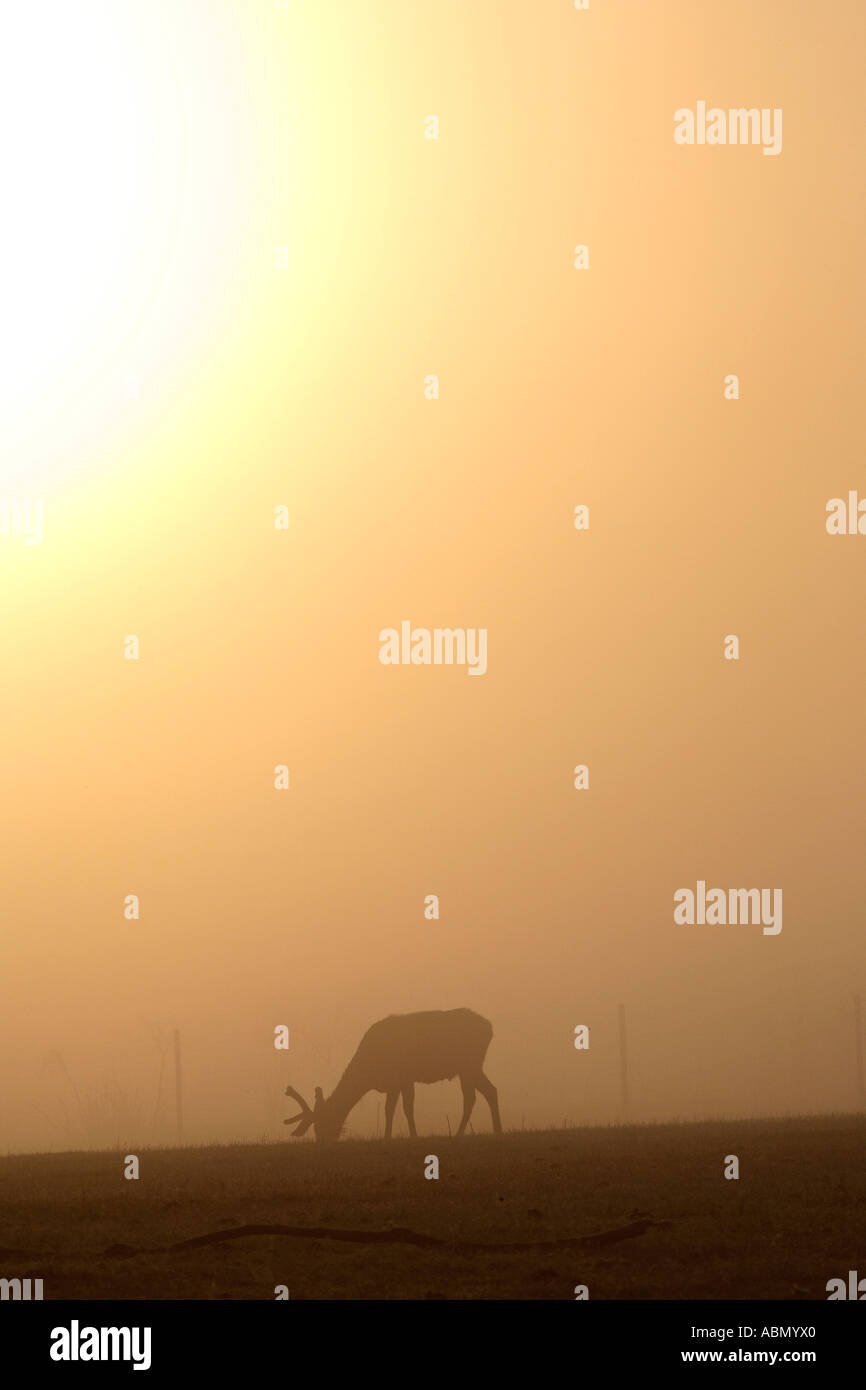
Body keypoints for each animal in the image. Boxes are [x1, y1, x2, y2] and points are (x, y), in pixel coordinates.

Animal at [284, 1011, 500, 1139]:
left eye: (322, 1123)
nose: (322, 1141)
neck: (369, 1073)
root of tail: (489, 1027)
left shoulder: (403, 1077)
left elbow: (404, 1109)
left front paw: (410, 1136)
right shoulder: (394, 1083)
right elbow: (392, 1110)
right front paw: (389, 1136)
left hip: (470, 1065)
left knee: (475, 1096)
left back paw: (462, 1133)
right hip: (469, 1068)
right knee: (486, 1092)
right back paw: (492, 1129)